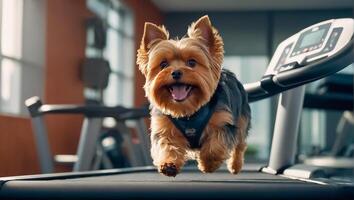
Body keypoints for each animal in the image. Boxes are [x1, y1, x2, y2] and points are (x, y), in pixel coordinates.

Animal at [137, 15, 250, 177]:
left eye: (191, 62)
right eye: (163, 64)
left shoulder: (223, 122)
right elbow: (166, 145)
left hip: (242, 119)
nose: (176, 72)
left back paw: (235, 165)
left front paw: (208, 164)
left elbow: (216, 145)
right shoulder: (164, 127)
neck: (188, 111)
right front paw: (168, 164)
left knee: (240, 144)